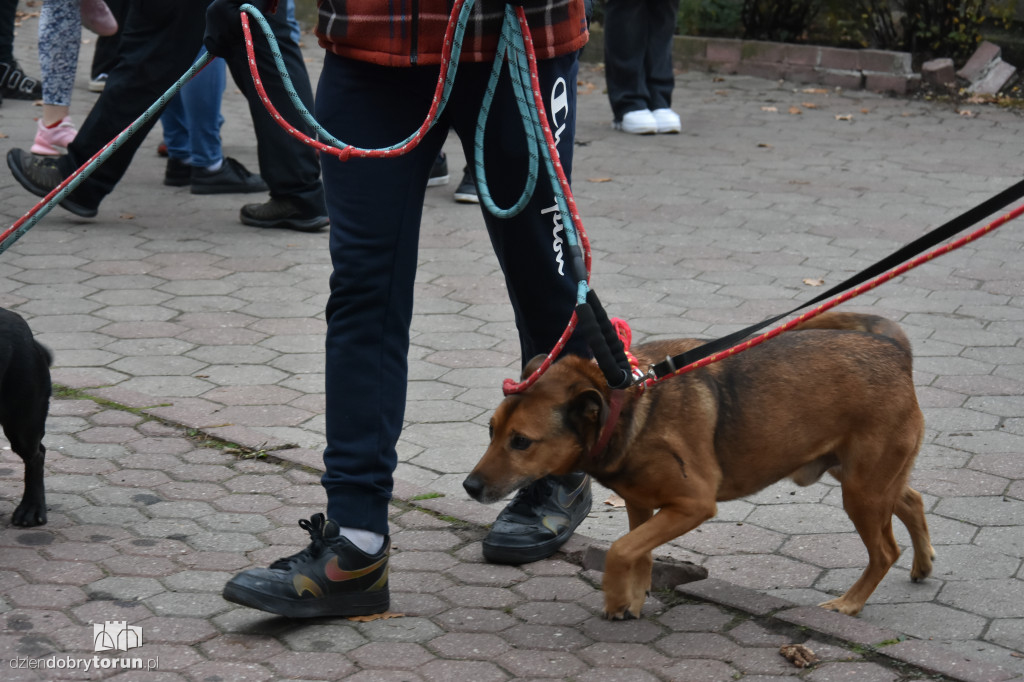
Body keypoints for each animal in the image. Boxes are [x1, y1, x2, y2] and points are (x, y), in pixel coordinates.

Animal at [466, 311, 937, 618]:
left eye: (521, 441)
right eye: (490, 431)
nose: (469, 487)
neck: (624, 407)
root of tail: (895, 351)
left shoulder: (692, 505)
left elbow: (621, 550)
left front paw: (616, 597)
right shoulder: (641, 505)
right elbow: (639, 551)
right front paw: (634, 598)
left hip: (861, 490)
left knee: (885, 550)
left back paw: (850, 603)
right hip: (861, 477)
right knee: (911, 499)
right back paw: (923, 563)